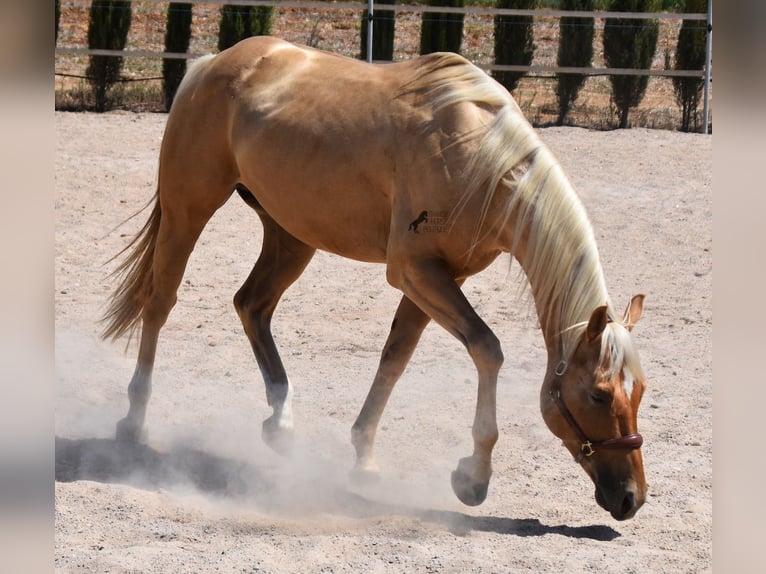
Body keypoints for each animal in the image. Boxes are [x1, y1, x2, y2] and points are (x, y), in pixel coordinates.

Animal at [105, 36, 652, 520]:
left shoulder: (438, 277)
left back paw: (280, 424)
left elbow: (395, 358)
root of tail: (212, 63)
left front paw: (364, 459)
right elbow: (486, 348)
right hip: (188, 212)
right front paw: (473, 478)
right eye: (599, 394)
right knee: (160, 303)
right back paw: (133, 422)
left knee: (251, 305)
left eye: (640, 391)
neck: (482, 157)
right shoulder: (413, 270)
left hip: (291, 236)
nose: (632, 497)